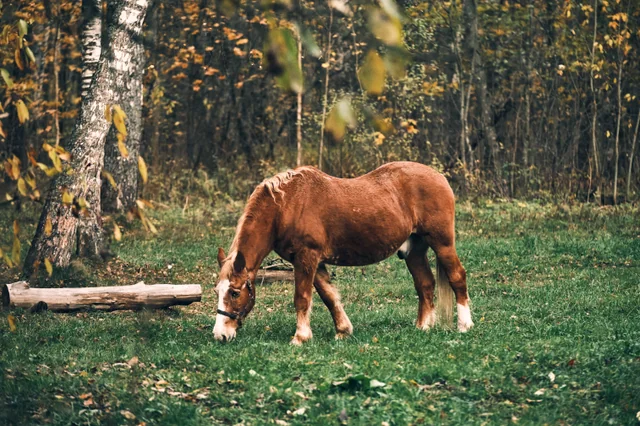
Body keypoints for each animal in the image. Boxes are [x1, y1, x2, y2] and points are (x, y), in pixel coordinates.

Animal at [213, 161, 473, 344]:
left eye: (235, 293)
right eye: (217, 291)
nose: (220, 335)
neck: (286, 205)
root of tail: (439, 177)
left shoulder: (306, 258)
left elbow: (302, 298)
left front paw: (300, 337)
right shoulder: (315, 262)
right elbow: (329, 297)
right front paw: (343, 331)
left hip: (442, 243)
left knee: (457, 277)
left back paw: (465, 325)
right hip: (414, 251)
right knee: (425, 284)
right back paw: (423, 327)